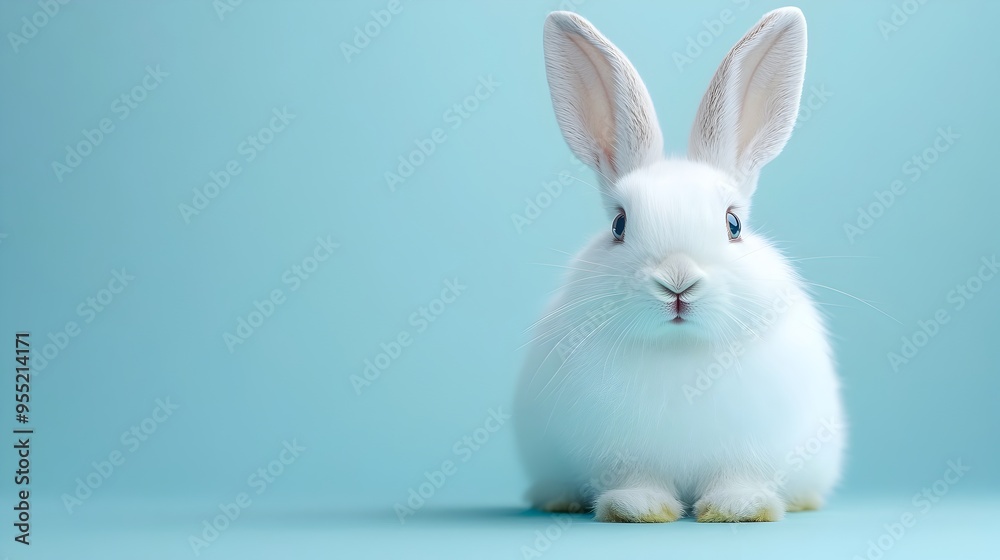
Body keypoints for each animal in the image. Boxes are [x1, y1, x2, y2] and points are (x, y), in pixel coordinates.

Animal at [514, 7, 846, 523]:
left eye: (733, 224)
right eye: (619, 225)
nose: (677, 282)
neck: (681, 352)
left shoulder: (751, 449)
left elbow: (738, 477)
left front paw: (738, 508)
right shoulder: (622, 454)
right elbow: (637, 480)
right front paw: (639, 508)